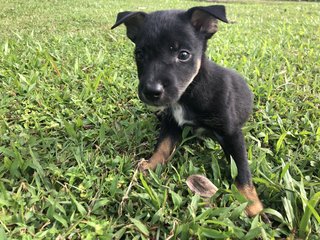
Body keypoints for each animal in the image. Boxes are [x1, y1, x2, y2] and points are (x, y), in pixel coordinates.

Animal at [112, 5, 262, 216]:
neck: (188, 93)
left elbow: (242, 170)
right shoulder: (171, 123)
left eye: (183, 55)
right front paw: (151, 165)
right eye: (140, 54)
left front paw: (252, 205)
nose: (151, 92)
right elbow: (163, 145)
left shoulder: (231, 133)